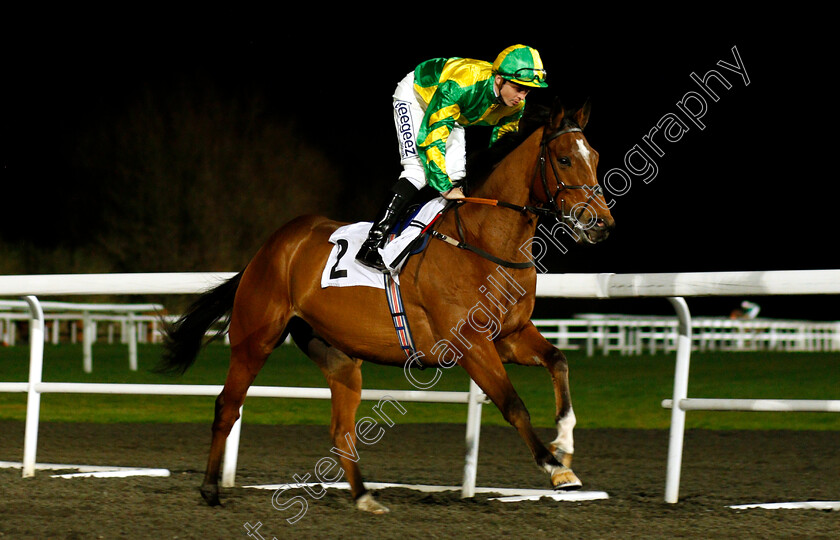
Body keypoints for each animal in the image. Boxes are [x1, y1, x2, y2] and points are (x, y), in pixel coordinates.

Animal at [159, 98, 616, 516]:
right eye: (564, 159)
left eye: (593, 157)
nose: (602, 224)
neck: (482, 242)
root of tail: (270, 248)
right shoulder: (470, 344)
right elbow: (513, 404)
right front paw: (556, 468)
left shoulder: (510, 335)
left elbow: (558, 361)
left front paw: (565, 441)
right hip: (255, 338)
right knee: (227, 406)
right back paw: (210, 489)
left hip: (339, 356)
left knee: (341, 429)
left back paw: (364, 496)